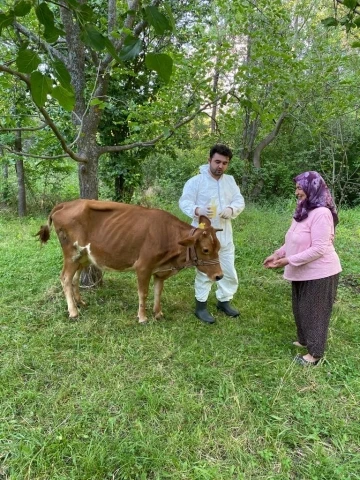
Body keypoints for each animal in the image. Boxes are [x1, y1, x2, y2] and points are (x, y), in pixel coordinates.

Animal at [36, 199, 222, 322]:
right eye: (205, 249)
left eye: (219, 247)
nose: (219, 276)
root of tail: (66, 204)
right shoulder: (143, 266)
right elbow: (143, 292)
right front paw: (142, 317)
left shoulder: (160, 270)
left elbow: (158, 291)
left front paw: (158, 313)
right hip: (72, 253)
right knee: (65, 278)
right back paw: (73, 311)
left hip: (84, 256)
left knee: (75, 278)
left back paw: (80, 302)